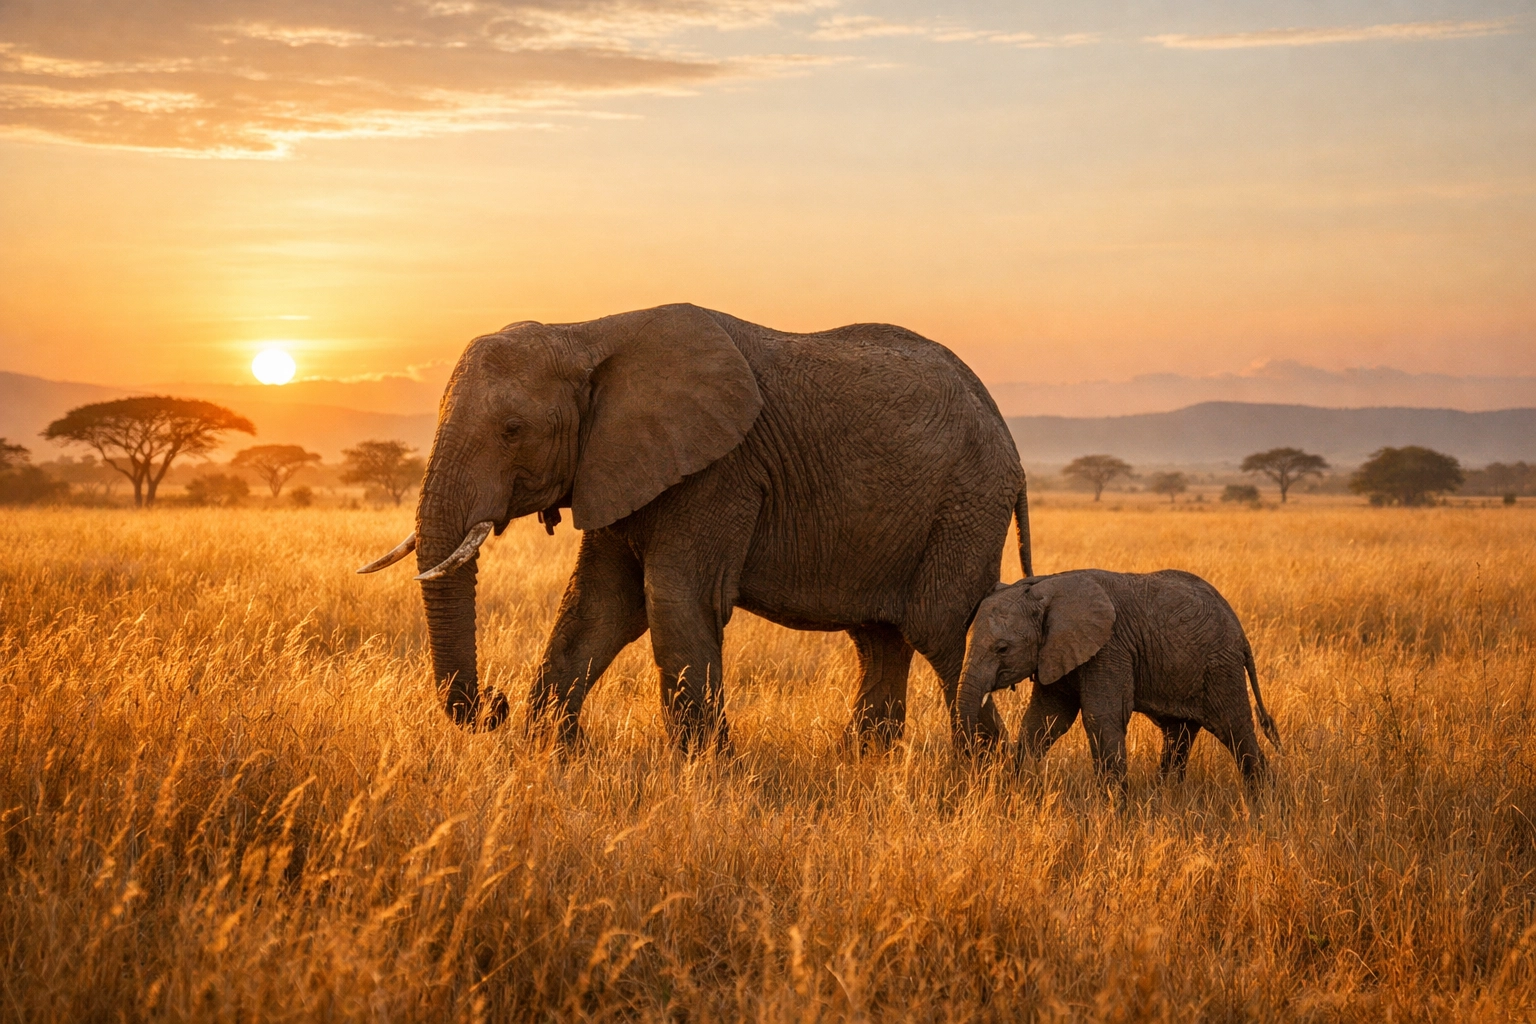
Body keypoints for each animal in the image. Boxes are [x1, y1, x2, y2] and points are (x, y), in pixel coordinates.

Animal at [358, 303, 1031, 751]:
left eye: (512, 430)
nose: (491, 706)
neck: (585, 333)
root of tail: (1004, 428)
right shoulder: (620, 463)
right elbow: (598, 606)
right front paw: (551, 753)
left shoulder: (719, 469)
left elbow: (674, 601)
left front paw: (707, 773)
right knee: (879, 639)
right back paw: (863, 765)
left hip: (966, 502)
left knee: (943, 628)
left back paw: (987, 774)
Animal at [957, 569, 1281, 797]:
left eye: (1002, 649)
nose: (973, 760)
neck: (1046, 586)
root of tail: (1240, 631)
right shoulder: (1055, 652)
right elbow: (1044, 720)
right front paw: (1017, 787)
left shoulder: (1109, 649)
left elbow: (1101, 718)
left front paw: (1112, 809)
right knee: (1179, 735)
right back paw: (1167, 795)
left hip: (1220, 667)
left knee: (1236, 730)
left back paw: (1263, 803)